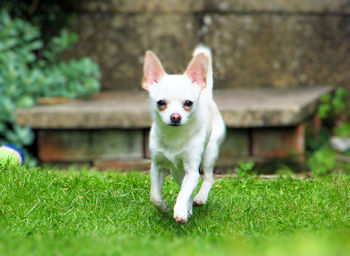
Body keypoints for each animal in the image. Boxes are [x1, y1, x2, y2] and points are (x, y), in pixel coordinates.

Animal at [143, 46, 227, 224]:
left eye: (188, 103)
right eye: (161, 102)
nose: (175, 117)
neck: (174, 136)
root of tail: (206, 95)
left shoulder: (192, 170)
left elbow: (184, 192)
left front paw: (181, 210)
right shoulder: (157, 166)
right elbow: (154, 195)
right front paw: (163, 207)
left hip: (210, 152)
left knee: (207, 178)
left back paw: (199, 198)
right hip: (176, 171)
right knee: (184, 184)